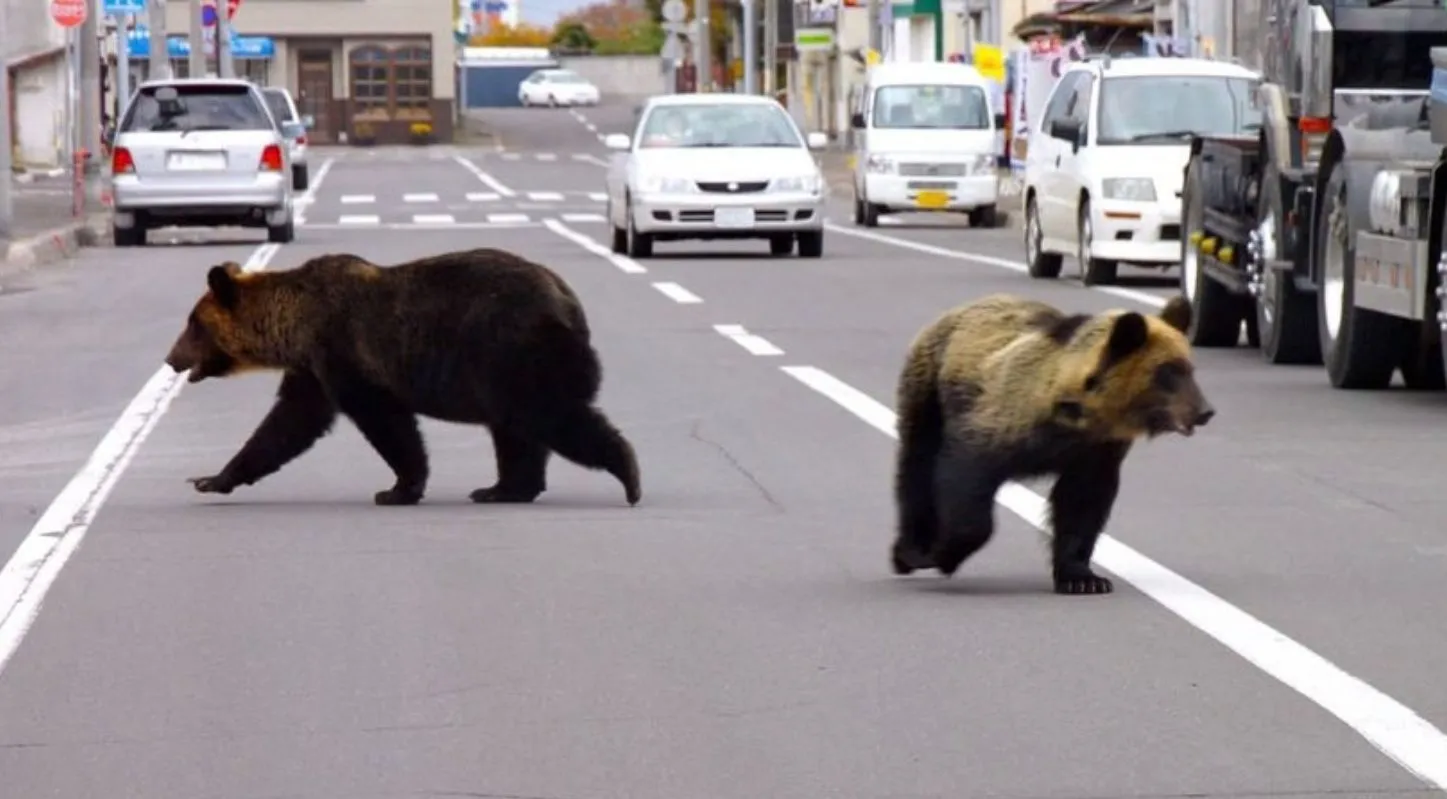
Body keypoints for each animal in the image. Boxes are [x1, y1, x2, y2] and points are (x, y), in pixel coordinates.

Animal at [162, 247, 642, 508]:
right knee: (515, 431)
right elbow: (287, 424)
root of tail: (568, 301)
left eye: (193, 325)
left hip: (513, 350)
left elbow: (385, 421)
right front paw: (211, 478)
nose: (170, 358)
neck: (293, 326)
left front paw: (398, 488)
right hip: (503, 370)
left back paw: (628, 475)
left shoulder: (343, 352)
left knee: (549, 416)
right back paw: (502, 488)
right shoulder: (313, 369)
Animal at [889, 293, 1213, 595]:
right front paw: (942, 554)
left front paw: (1084, 578)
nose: (1205, 411)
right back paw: (908, 551)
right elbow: (966, 479)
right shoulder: (999, 422)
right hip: (929, 388)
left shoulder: (1095, 452)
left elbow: (1082, 504)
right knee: (917, 463)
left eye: (1190, 368)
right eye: (1168, 371)